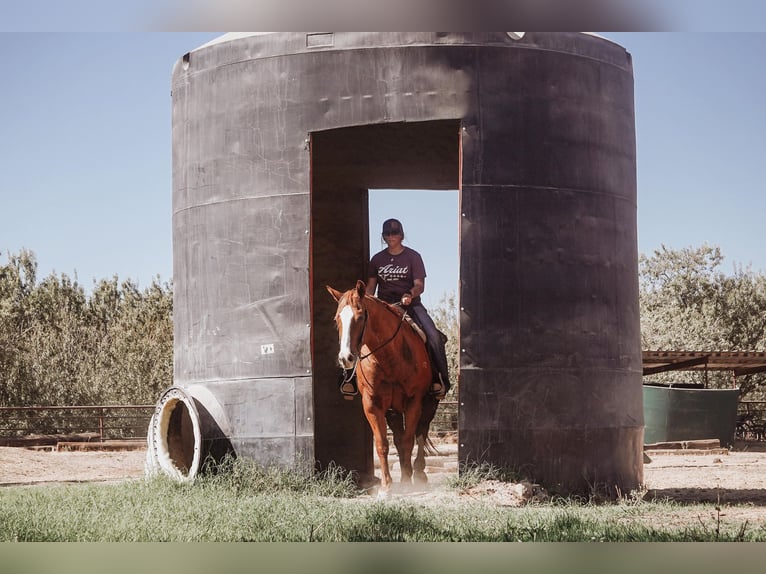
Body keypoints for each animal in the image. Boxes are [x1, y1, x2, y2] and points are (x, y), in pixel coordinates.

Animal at [327, 280, 440, 499]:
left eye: (360, 317)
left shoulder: (414, 403)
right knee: (398, 438)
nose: (346, 358)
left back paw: (418, 473)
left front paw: (406, 482)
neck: (389, 357)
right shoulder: (372, 405)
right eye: (337, 319)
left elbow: (409, 441)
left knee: (421, 433)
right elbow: (382, 445)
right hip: (393, 412)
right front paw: (387, 487)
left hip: (430, 403)